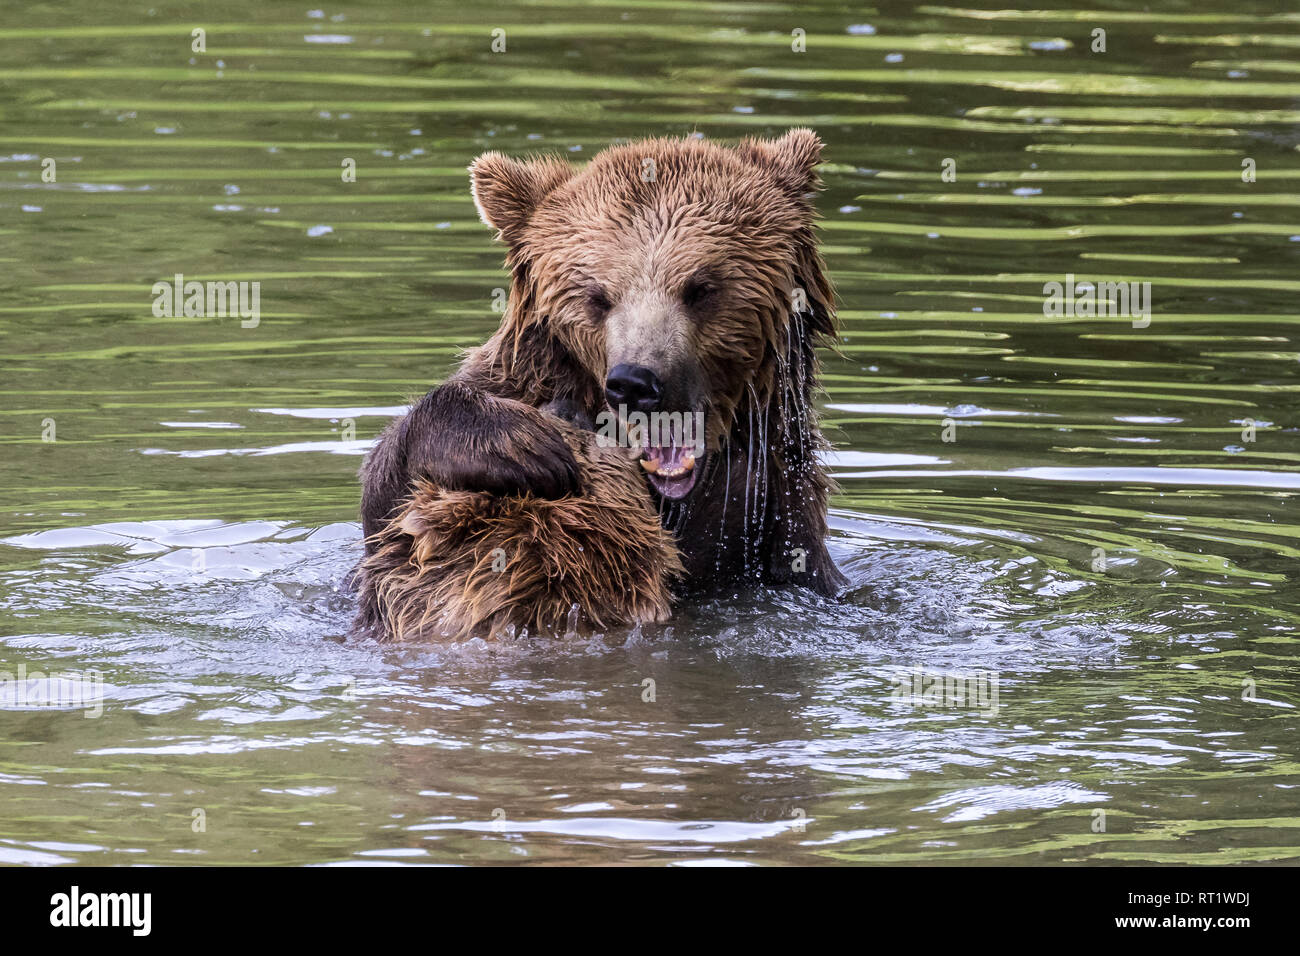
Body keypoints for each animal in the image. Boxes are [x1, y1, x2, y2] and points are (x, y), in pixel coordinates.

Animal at [353, 128, 844, 642]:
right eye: (598, 296)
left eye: (701, 288)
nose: (635, 382)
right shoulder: (515, 380)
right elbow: (383, 494)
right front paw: (521, 446)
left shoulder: (784, 515)